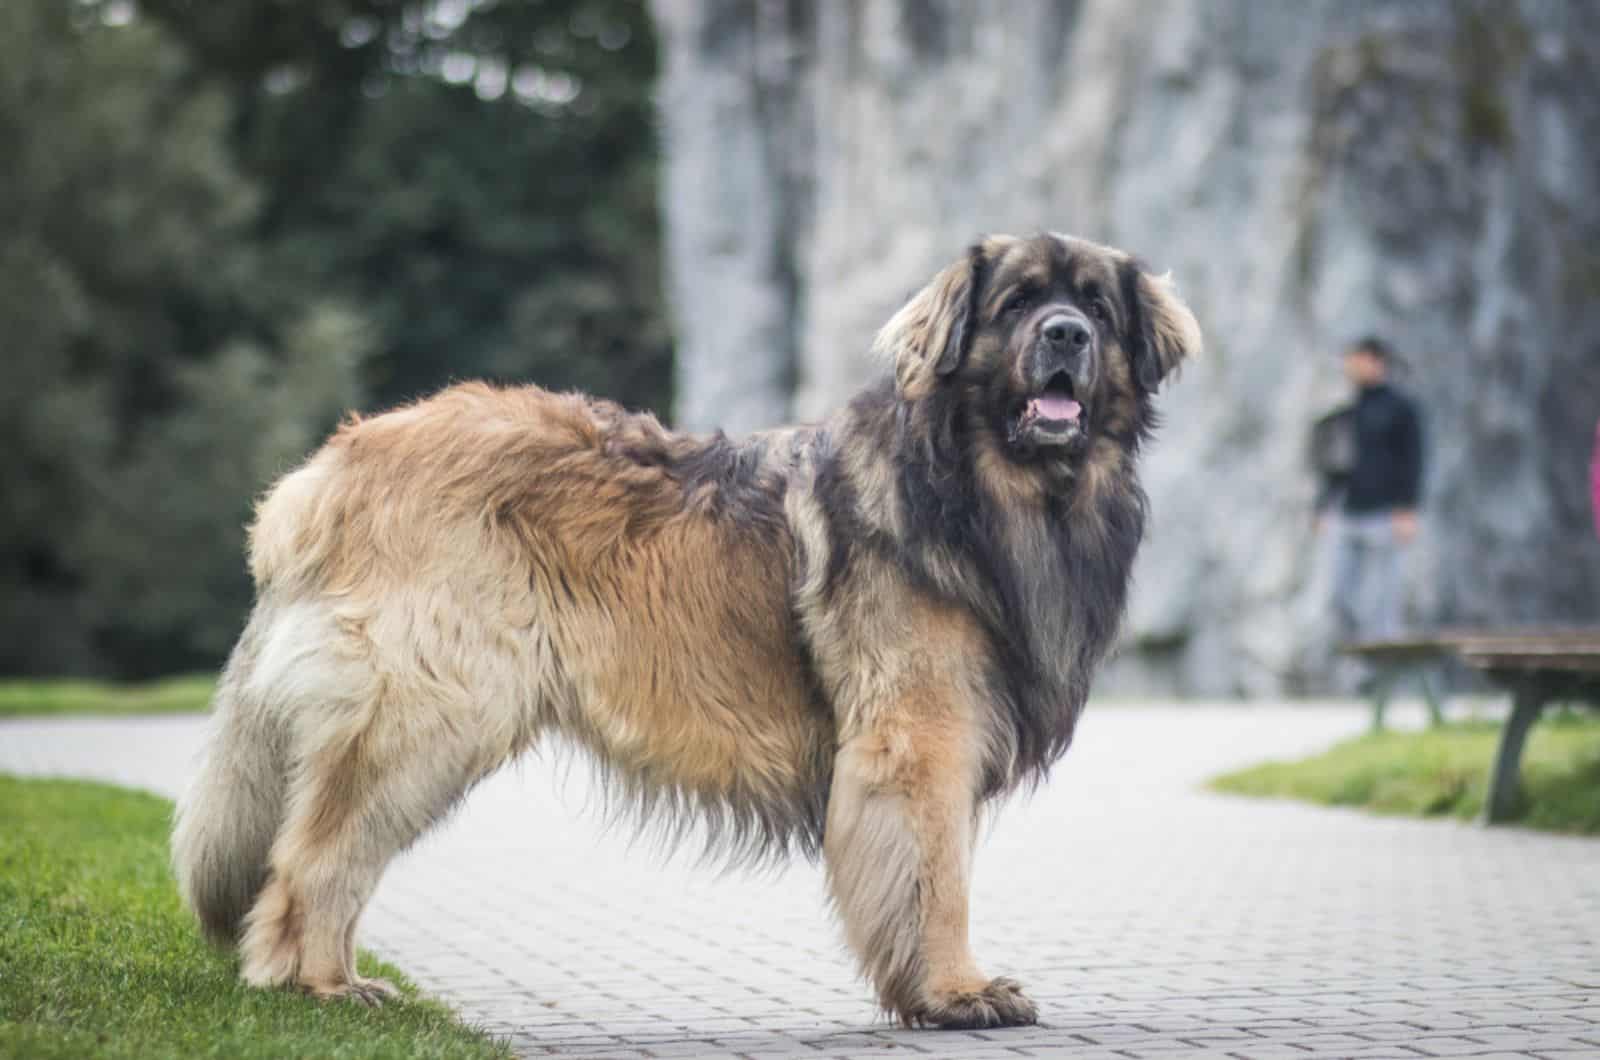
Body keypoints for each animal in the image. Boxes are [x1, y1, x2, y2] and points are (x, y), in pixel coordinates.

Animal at [175, 230, 1203, 1031]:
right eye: (1019, 302)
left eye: (1097, 308)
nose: (1066, 335)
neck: (994, 492)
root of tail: (332, 464)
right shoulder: (921, 737)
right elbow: (936, 878)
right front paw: (956, 993)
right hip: (427, 713)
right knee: (313, 858)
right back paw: (317, 987)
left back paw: (337, 978)